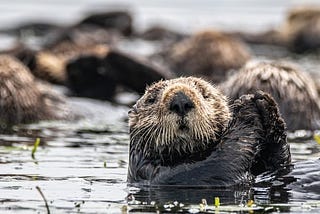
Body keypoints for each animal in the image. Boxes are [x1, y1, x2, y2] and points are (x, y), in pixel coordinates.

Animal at [127, 76, 290, 186]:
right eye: (151, 99)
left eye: (205, 94)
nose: (180, 101)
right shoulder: (167, 175)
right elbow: (221, 161)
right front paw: (245, 107)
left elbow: (280, 165)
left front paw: (265, 103)